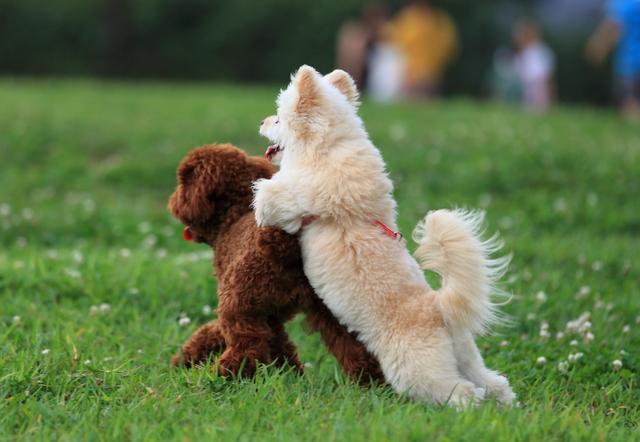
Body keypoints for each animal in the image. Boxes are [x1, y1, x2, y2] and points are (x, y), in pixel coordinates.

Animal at [168, 142, 382, 384]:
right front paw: (292, 374)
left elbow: (212, 332)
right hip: (328, 304)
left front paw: (184, 358)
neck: (232, 220)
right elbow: (279, 345)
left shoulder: (248, 307)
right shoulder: (271, 316)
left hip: (239, 303)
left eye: (183, 182)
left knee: (245, 345)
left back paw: (225, 377)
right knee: (353, 345)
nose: (173, 202)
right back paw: (371, 382)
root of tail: (281, 243)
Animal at [254, 65, 516, 408]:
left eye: (279, 120)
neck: (327, 149)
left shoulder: (297, 194)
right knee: (492, 382)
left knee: (461, 392)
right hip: (465, 356)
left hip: (416, 369)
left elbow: (269, 196)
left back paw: (466, 410)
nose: (261, 121)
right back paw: (507, 404)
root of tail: (437, 308)